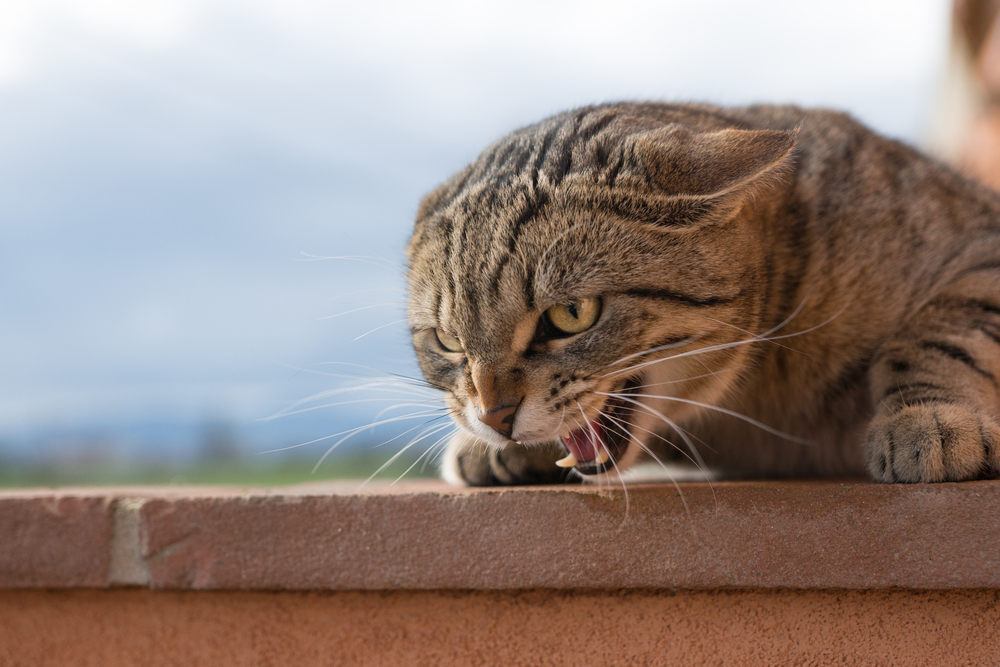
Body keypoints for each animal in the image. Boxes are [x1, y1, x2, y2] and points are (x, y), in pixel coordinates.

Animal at [402, 103, 1000, 486]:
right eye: (448, 341)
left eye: (571, 314)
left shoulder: (982, 255)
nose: (494, 417)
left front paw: (929, 417)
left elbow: (937, 338)